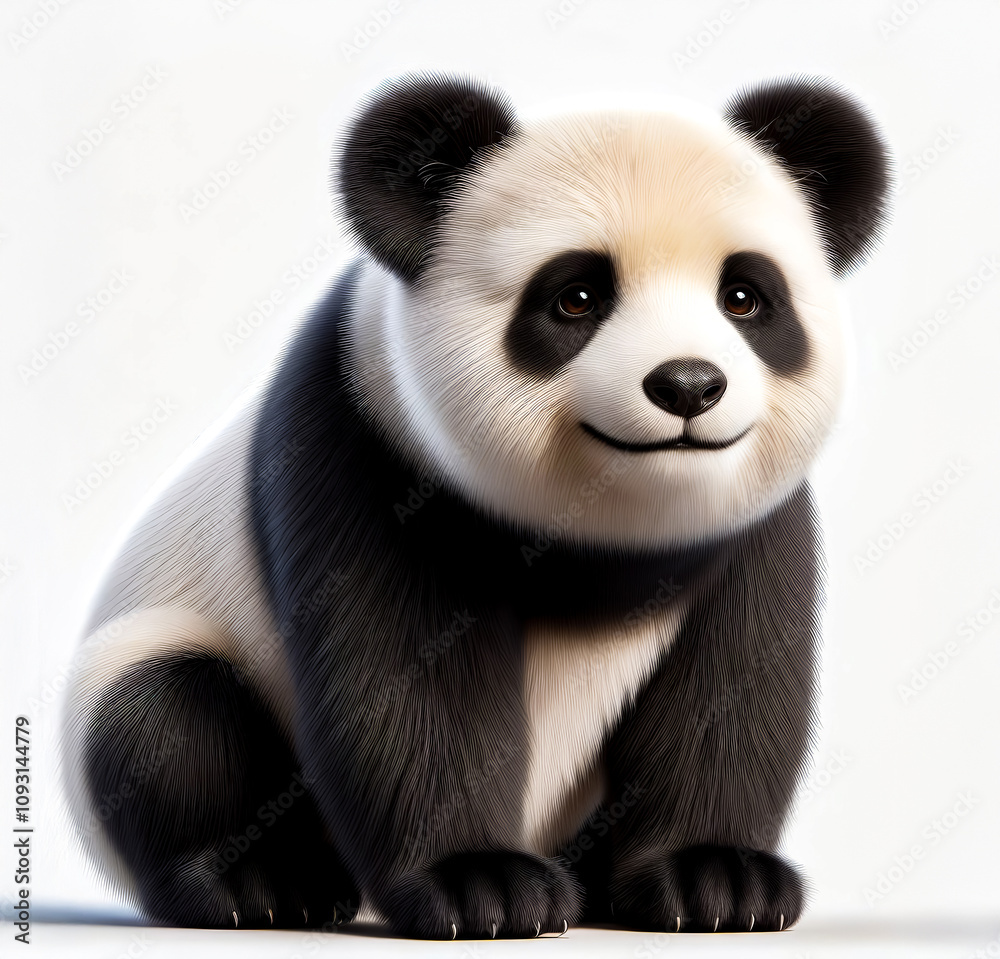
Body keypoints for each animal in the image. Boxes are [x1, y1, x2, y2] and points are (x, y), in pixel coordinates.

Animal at [60, 72, 889, 938]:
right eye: (577, 297)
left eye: (744, 296)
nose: (689, 385)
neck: (602, 535)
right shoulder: (368, 448)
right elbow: (407, 682)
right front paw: (479, 885)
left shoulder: (746, 526)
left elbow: (732, 683)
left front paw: (717, 879)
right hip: (163, 641)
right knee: (166, 720)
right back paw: (264, 883)